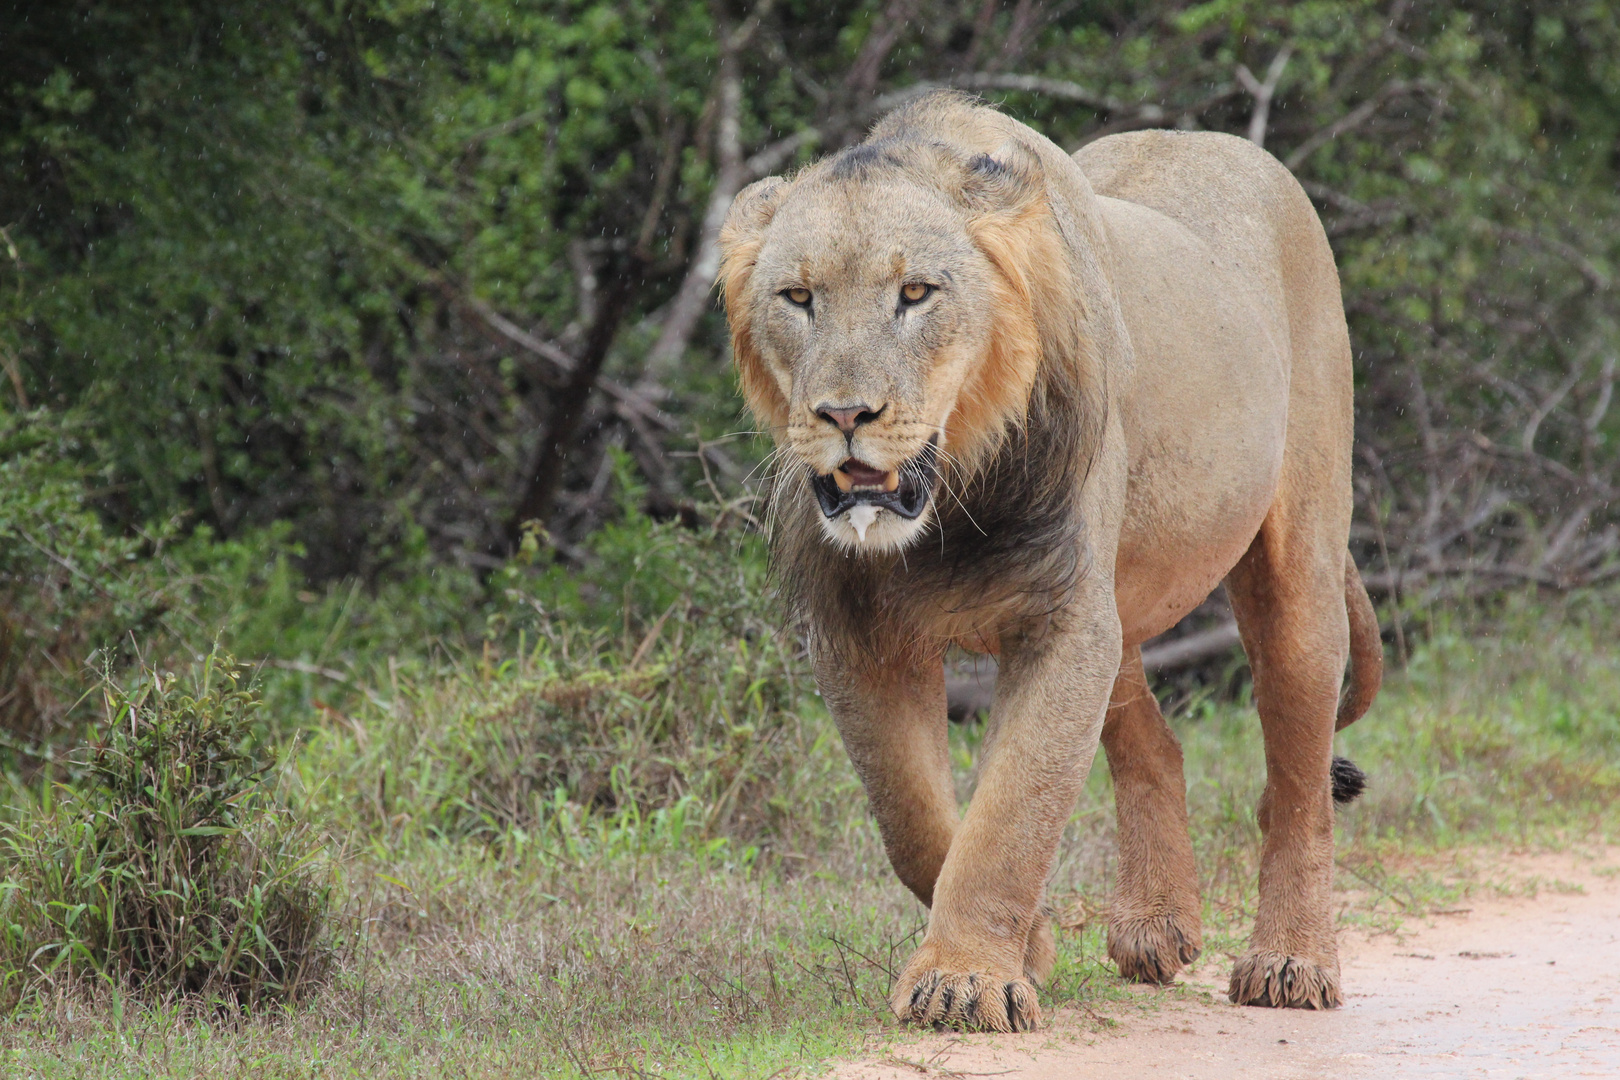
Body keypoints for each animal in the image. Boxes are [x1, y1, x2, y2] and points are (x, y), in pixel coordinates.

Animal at [719, 95, 1380, 1036]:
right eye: (798, 298)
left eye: (915, 293)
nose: (845, 415)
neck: (949, 502)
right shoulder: (858, 637)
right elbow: (916, 820)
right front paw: (1020, 949)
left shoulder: (1063, 615)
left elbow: (1013, 810)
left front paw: (965, 982)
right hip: (1124, 597)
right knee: (1154, 742)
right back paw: (1156, 926)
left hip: (1297, 563)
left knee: (1298, 785)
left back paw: (1290, 963)